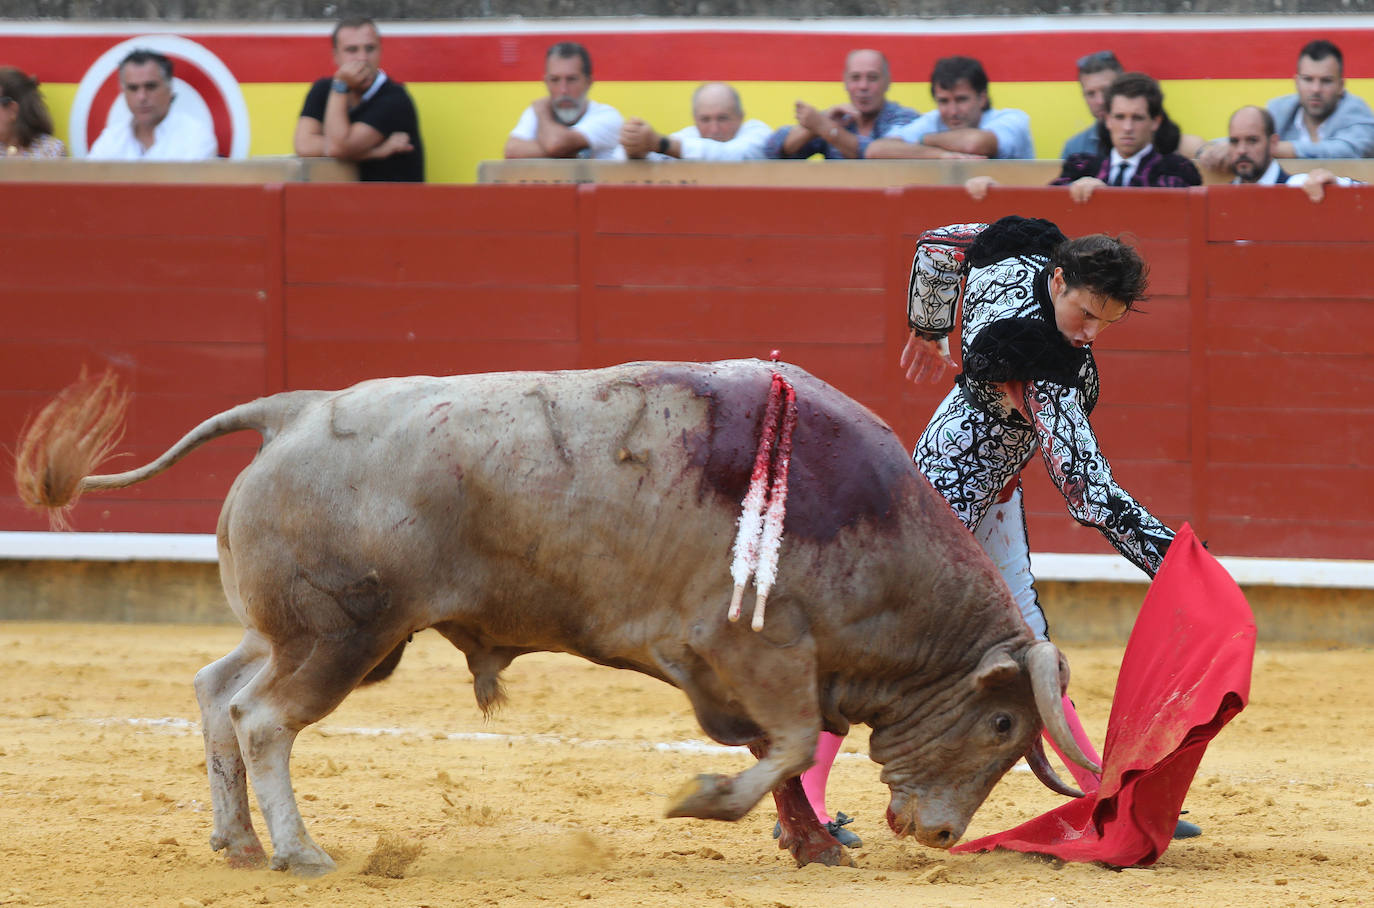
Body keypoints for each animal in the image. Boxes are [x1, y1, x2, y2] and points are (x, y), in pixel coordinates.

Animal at [16, 359, 1093, 879]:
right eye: (1003, 721)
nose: (938, 834)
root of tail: (296, 410)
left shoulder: (770, 669)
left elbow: (790, 756)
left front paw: (814, 844)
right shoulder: (759, 648)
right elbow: (786, 746)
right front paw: (704, 800)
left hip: (304, 632)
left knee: (216, 690)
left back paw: (236, 839)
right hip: (342, 639)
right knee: (263, 718)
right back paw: (298, 851)